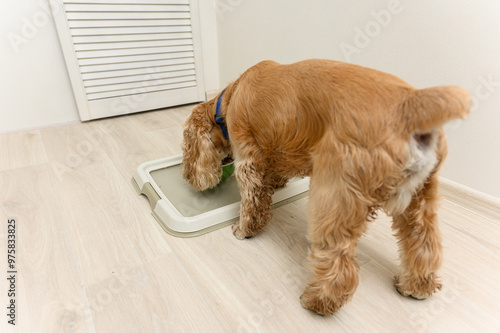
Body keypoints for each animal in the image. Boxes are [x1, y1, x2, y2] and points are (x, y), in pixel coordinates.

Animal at [182, 58, 470, 316]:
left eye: (186, 148)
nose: (186, 176)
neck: (230, 97)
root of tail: (413, 103)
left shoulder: (247, 159)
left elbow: (251, 203)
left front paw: (243, 229)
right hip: (420, 199)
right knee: (424, 243)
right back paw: (416, 287)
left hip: (333, 194)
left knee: (338, 260)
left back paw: (318, 301)